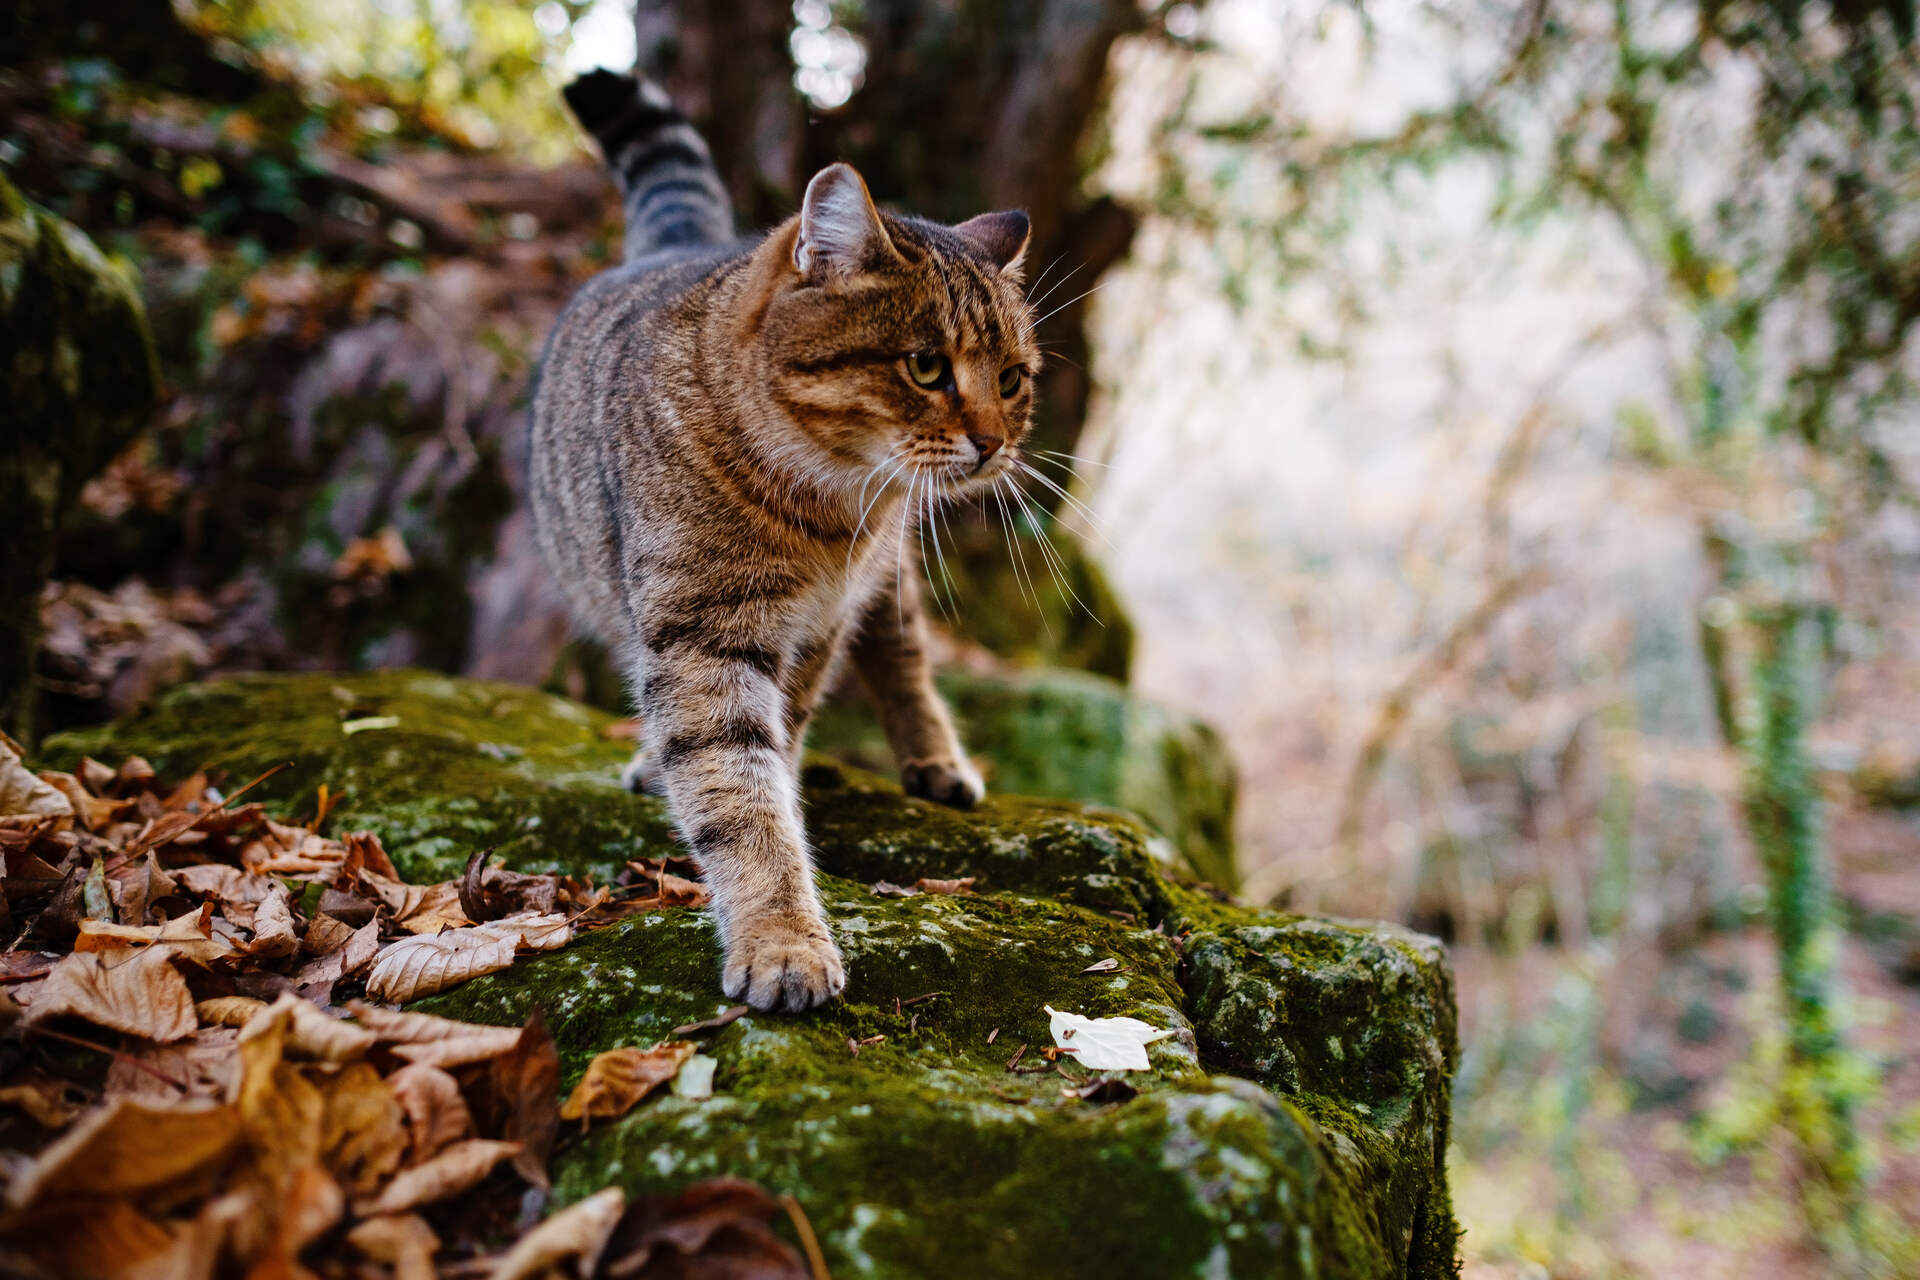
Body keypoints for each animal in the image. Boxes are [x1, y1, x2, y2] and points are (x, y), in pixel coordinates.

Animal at [526, 72, 1044, 1013]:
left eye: (1013, 378)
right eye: (926, 366)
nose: (995, 443)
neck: (827, 510)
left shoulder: (819, 624)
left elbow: (781, 743)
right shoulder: (703, 636)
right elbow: (738, 791)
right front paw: (782, 938)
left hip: (887, 583)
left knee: (902, 656)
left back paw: (935, 759)